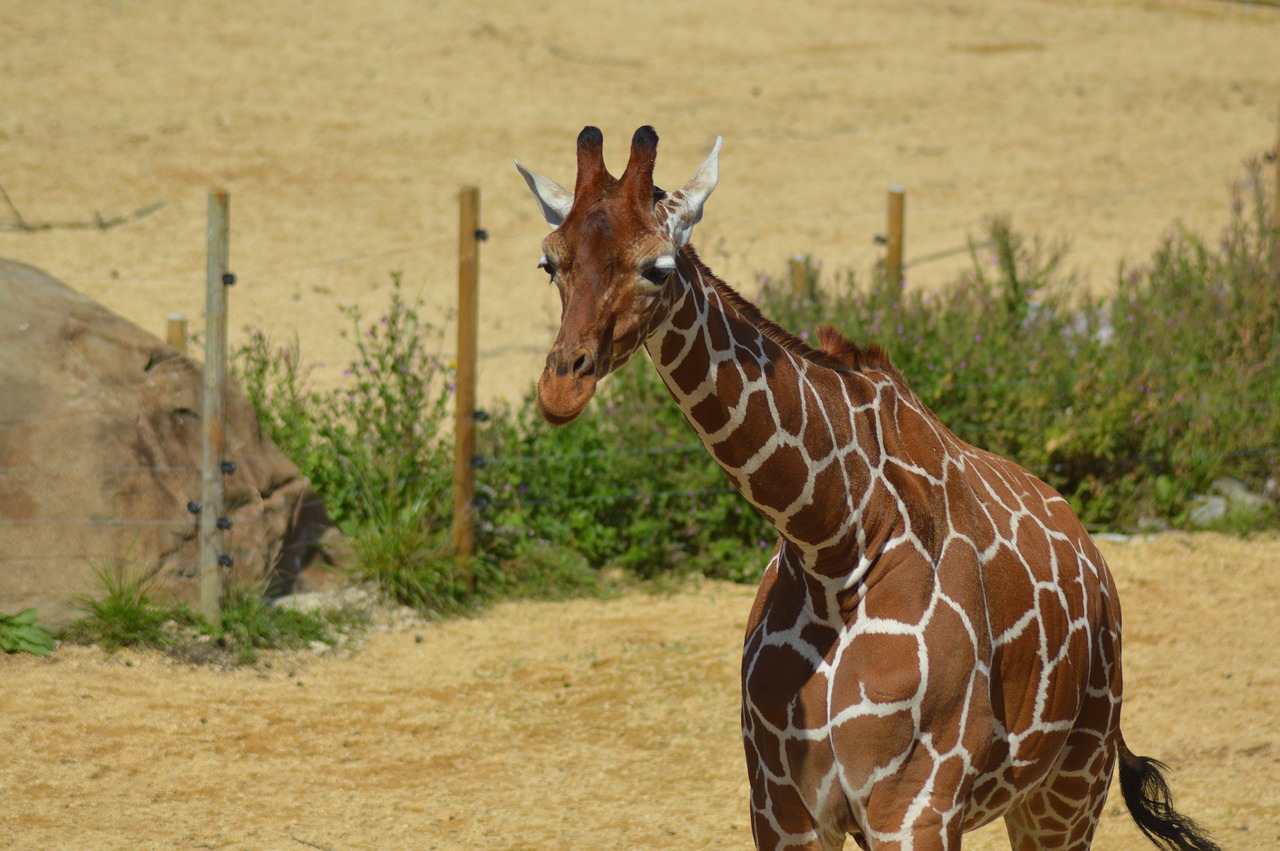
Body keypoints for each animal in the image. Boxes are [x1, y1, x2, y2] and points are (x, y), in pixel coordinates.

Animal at [512, 126, 1218, 849]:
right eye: (549, 262)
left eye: (656, 266)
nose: (561, 385)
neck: (833, 543)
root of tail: (1096, 561)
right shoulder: (782, 808)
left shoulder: (914, 805)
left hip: (1069, 788)